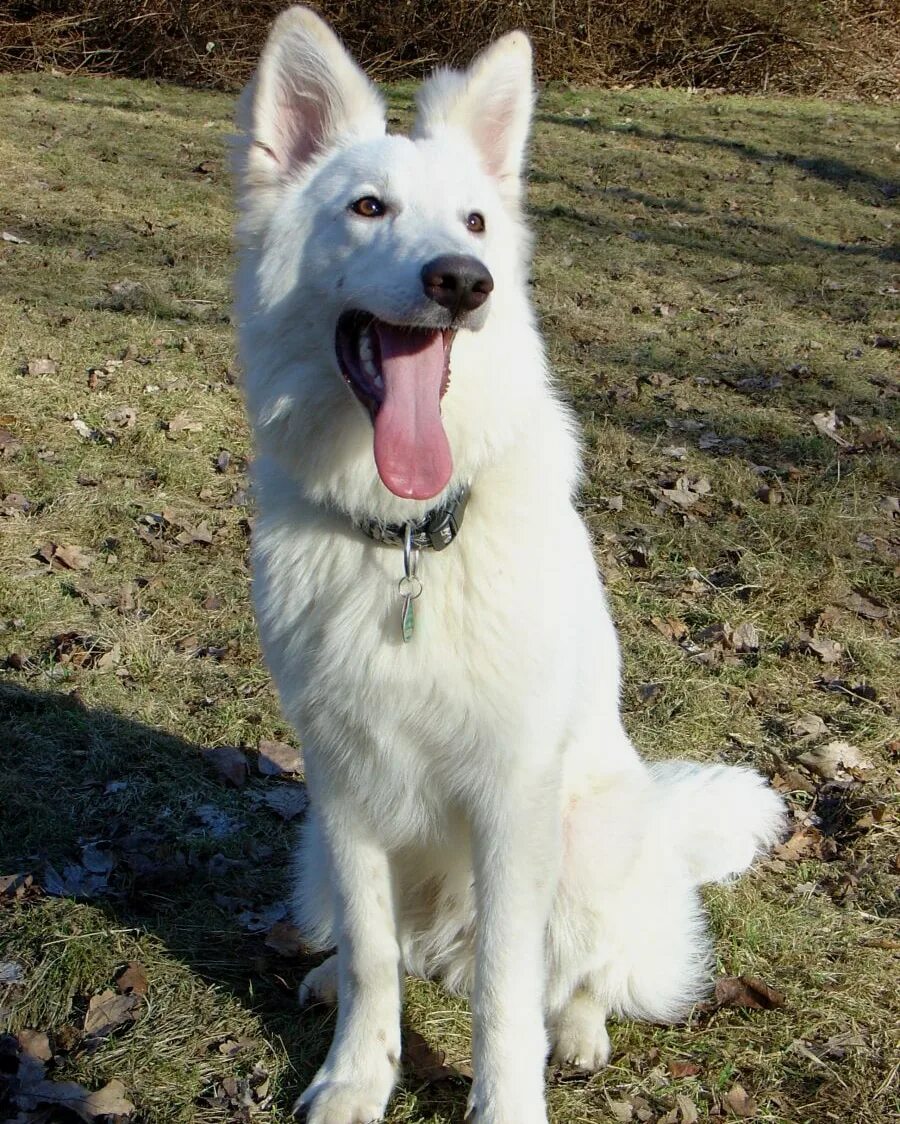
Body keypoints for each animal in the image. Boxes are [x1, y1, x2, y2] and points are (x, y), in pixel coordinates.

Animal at [233, 10, 786, 1124]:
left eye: (478, 223)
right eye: (368, 208)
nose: (462, 280)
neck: (408, 536)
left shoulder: (509, 798)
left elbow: (505, 988)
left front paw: (507, 1097)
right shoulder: (343, 787)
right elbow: (373, 955)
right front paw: (356, 1075)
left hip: (589, 843)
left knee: (585, 970)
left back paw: (577, 1030)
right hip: (318, 848)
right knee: (387, 947)